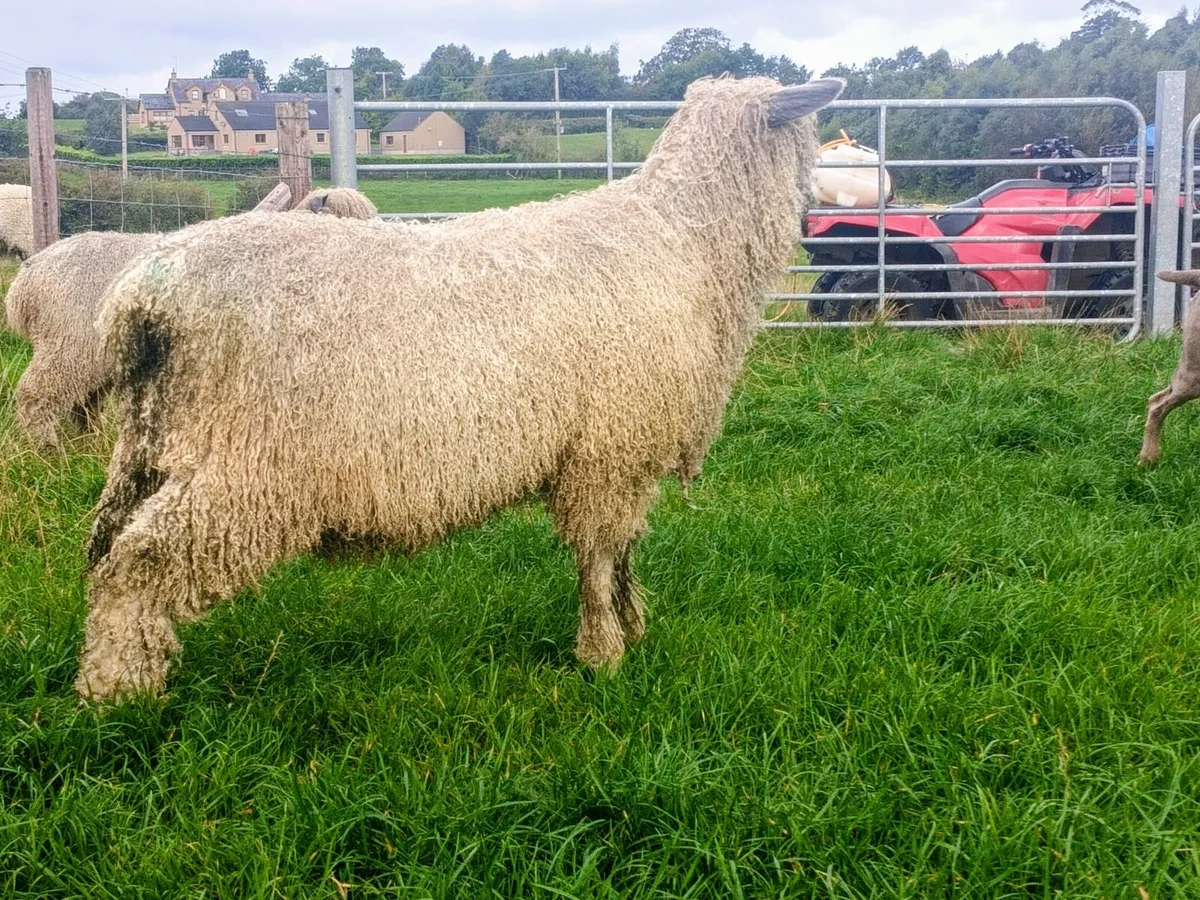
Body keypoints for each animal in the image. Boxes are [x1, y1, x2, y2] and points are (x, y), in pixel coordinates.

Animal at [5, 186, 379, 451]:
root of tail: (26, 281)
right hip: (70, 346)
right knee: (36, 395)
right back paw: (47, 450)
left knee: (84, 403)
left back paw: (88, 447)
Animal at [76, 75, 846, 702]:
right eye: (811, 138)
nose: (831, 201)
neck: (684, 241)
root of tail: (147, 290)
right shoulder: (607, 452)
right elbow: (598, 557)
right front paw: (604, 654)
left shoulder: (622, 455)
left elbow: (623, 552)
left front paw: (633, 625)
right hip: (251, 467)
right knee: (137, 565)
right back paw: (116, 694)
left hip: (152, 442)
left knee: (105, 548)